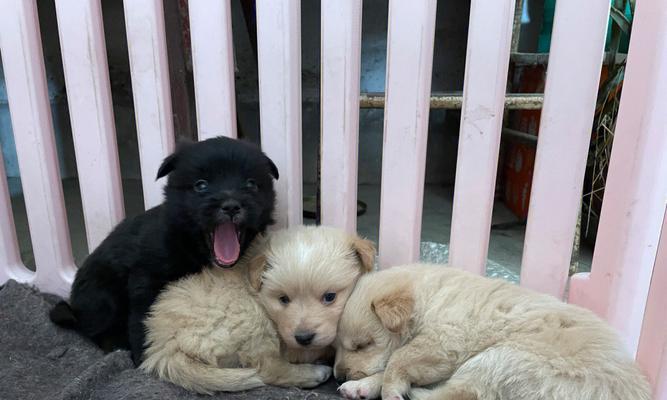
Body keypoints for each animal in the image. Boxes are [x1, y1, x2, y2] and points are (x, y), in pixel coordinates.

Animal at [50, 138, 280, 366]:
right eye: (201, 185)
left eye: (251, 184)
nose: (231, 206)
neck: (190, 243)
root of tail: (74, 307)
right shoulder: (146, 282)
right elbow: (142, 320)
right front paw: (143, 360)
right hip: (104, 298)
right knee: (95, 331)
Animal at [141, 225, 376, 394]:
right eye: (283, 299)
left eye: (330, 297)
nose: (303, 337)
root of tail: (164, 344)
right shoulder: (291, 344)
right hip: (250, 318)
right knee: (266, 369)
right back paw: (315, 373)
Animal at [336, 264, 648, 398]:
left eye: (362, 345)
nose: (339, 374)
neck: (431, 298)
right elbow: (391, 363)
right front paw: (361, 386)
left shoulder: (444, 342)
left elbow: (396, 360)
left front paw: (390, 391)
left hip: (499, 358)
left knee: (460, 395)